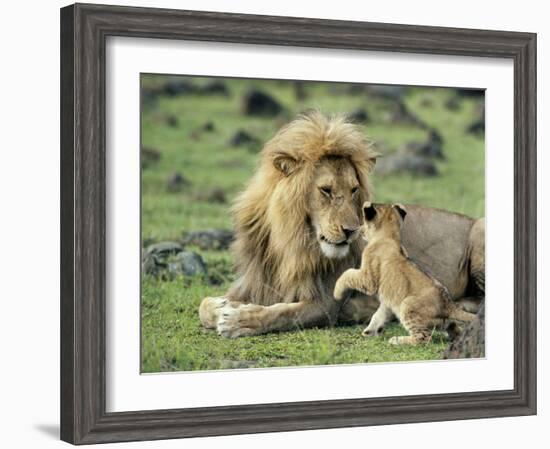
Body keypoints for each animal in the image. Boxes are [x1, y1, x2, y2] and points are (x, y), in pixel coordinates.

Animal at [201, 111, 486, 336]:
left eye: (354, 190)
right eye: (326, 191)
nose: (351, 231)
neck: (289, 240)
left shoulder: (325, 303)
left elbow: (281, 313)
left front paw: (239, 320)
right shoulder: (254, 281)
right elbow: (203, 305)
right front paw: (222, 306)